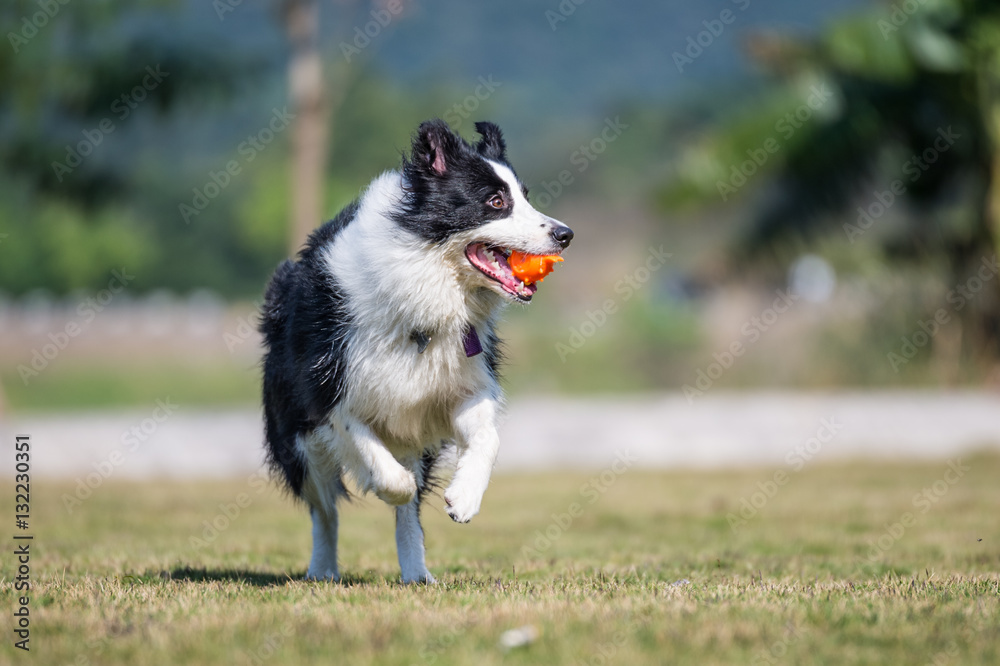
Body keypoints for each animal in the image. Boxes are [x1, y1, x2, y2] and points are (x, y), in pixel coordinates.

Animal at [260, 119, 572, 580]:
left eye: (526, 197)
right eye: (496, 202)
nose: (565, 234)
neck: (426, 286)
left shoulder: (461, 383)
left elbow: (488, 438)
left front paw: (464, 498)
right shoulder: (328, 391)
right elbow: (370, 452)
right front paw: (393, 485)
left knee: (404, 511)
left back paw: (416, 572)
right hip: (297, 437)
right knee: (325, 508)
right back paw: (323, 568)